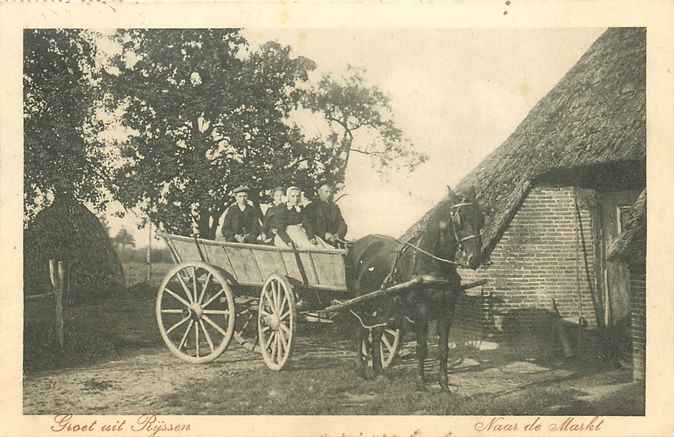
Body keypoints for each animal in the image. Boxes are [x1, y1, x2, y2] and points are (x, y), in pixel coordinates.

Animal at [344, 186, 480, 390]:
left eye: (482, 216)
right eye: (460, 218)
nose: (476, 258)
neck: (433, 265)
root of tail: (357, 245)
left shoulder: (447, 311)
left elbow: (443, 349)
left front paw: (444, 385)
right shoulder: (420, 312)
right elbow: (422, 348)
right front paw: (421, 383)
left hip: (382, 306)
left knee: (376, 334)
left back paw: (379, 372)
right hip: (361, 303)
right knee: (360, 332)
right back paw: (361, 369)